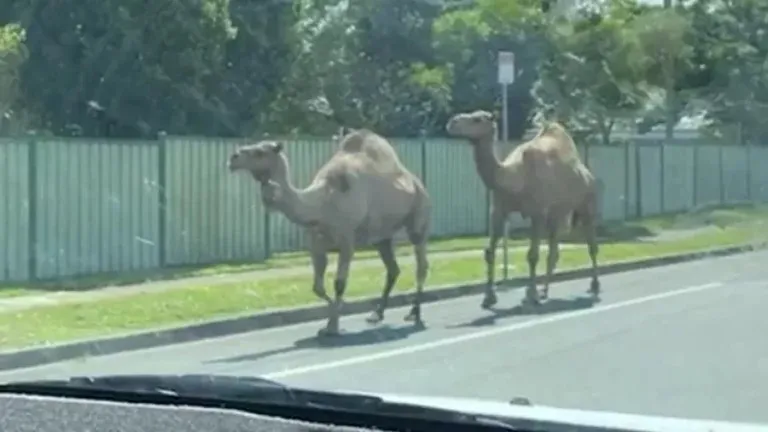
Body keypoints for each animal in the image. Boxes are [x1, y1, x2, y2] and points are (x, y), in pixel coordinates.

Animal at [228, 132, 432, 338]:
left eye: (260, 152)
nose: (233, 158)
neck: (321, 203)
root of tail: (417, 182)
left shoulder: (347, 241)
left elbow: (339, 283)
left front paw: (333, 326)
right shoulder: (316, 245)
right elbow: (317, 287)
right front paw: (330, 321)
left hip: (419, 216)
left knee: (421, 263)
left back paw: (415, 314)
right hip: (382, 237)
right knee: (393, 268)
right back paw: (377, 314)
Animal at [444, 111, 600, 308]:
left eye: (477, 119)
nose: (452, 122)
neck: (513, 178)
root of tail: (588, 174)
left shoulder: (538, 213)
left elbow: (532, 255)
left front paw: (530, 295)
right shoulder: (498, 211)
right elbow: (489, 253)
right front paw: (488, 298)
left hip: (587, 203)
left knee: (591, 245)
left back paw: (594, 286)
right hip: (556, 214)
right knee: (553, 250)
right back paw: (545, 291)